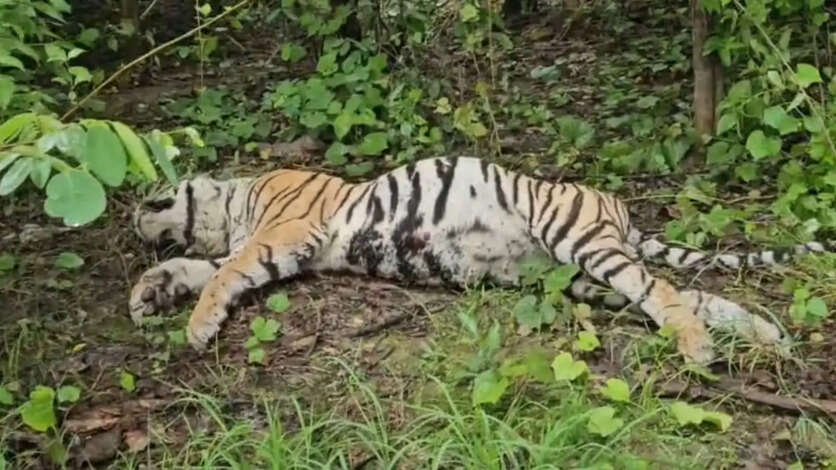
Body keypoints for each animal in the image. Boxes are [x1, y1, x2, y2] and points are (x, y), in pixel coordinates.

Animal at [129, 156, 830, 363]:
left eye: (154, 194)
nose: (133, 213)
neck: (235, 202)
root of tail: (618, 208)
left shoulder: (283, 231)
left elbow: (222, 273)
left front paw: (196, 328)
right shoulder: (279, 250)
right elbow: (200, 271)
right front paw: (147, 294)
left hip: (579, 239)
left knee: (664, 293)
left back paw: (697, 350)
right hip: (585, 278)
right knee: (684, 292)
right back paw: (766, 335)